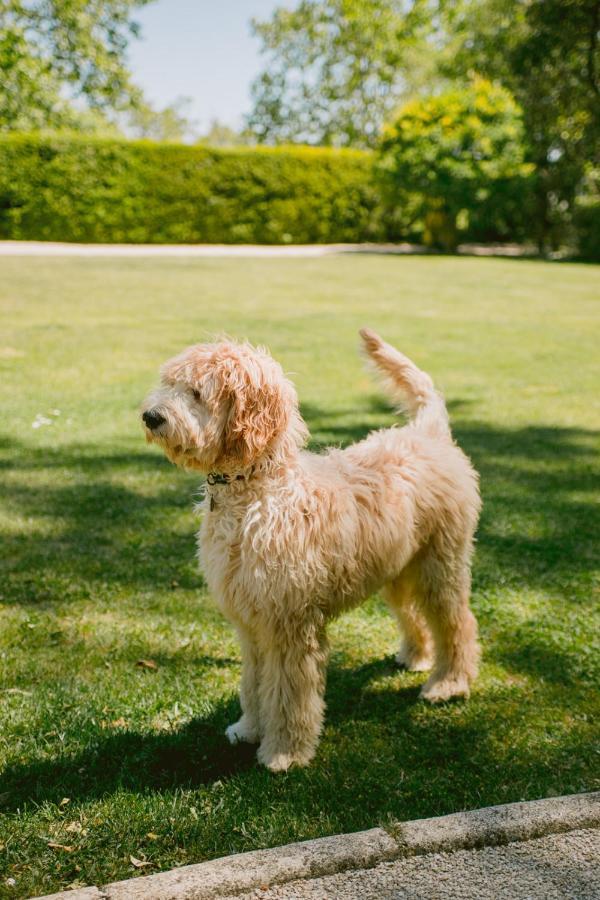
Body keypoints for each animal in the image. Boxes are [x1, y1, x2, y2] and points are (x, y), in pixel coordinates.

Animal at [143, 330, 480, 772]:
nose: (151, 416)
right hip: (397, 568)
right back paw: (415, 656)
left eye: (197, 392)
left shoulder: (290, 622)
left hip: (439, 565)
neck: (256, 490)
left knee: (456, 622)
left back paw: (448, 684)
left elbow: (289, 694)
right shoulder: (252, 621)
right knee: (414, 614)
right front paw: (249, 729)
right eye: (169, 383)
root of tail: (427, 433)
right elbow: (254, 682)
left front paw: (284, 752)